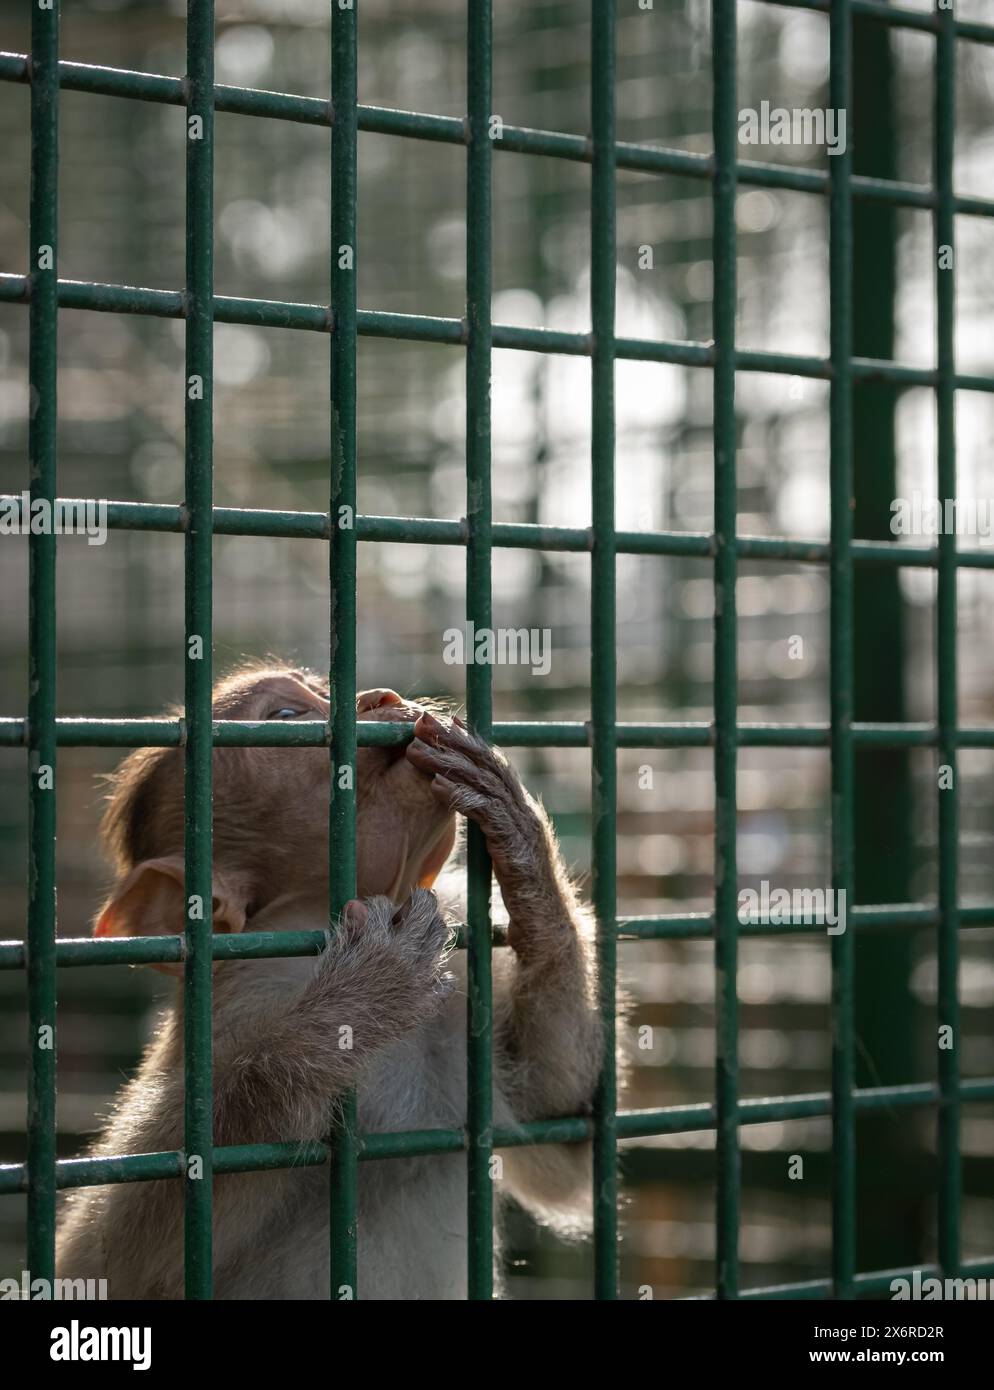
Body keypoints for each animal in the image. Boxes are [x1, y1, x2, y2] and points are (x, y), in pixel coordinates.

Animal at [58, 667, 606, 1295]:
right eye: (285, 716)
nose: (380, 698)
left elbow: (559, 1126)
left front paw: (523, 848)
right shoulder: (242, 997)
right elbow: (114, 1255)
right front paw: (361, 998)